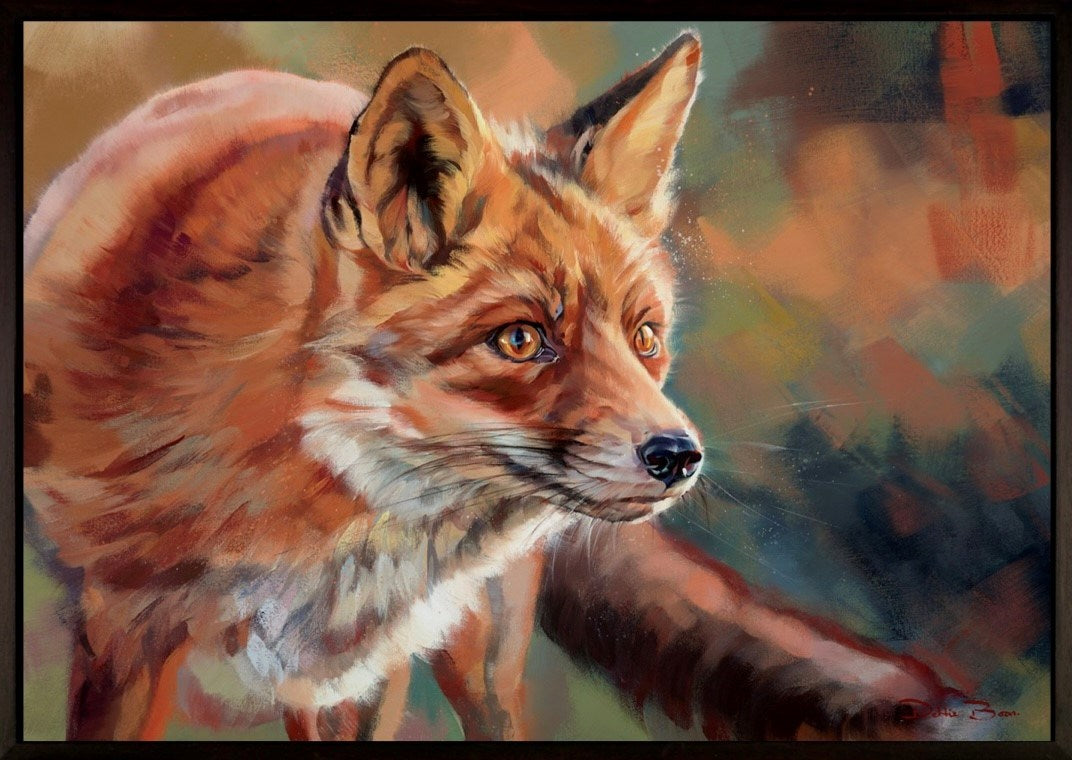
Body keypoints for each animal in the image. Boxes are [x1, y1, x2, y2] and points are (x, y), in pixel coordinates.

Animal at [23, 31, 953, 741]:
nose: (678, 457)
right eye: (521, 339)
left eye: (645, 338)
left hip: (484, 642)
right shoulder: (118, 634)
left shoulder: (361, 676)